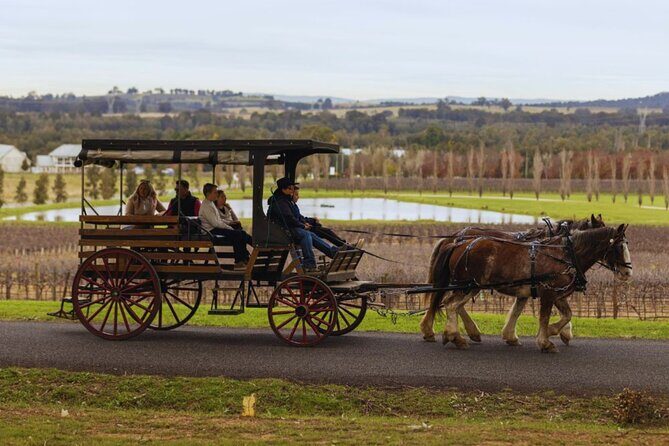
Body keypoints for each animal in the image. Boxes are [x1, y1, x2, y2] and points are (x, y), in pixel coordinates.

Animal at [420, 224, 631, 352]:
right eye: (619, 247)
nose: (628, 272)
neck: (566, 254)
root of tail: (459, 242)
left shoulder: (555, 293)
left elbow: (566, 314)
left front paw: (554, 332)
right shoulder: (548, 292)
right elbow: (544, 317)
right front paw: (545, 341)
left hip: (468, 286)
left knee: (450, 304)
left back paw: (453, 334)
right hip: (469, 286)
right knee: (450, 304)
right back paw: (455, 336)